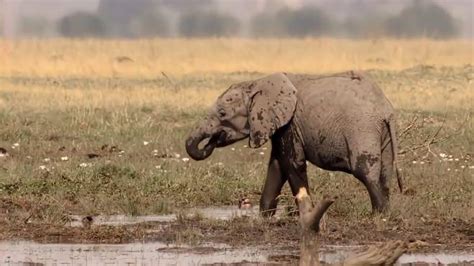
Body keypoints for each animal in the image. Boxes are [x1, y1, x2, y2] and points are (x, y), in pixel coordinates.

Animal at [184, 71, 400, 216]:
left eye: (222, 114)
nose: (211, 142)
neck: (256, 83)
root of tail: (386, 109)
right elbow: (277, 165)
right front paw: (265, 217)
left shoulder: (290, 123)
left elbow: (292, 164)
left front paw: (306, 215)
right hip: (381, 134)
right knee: (384, 173)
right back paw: (386, 213)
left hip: (362, 129)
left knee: (365, 172)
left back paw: (378, 216)